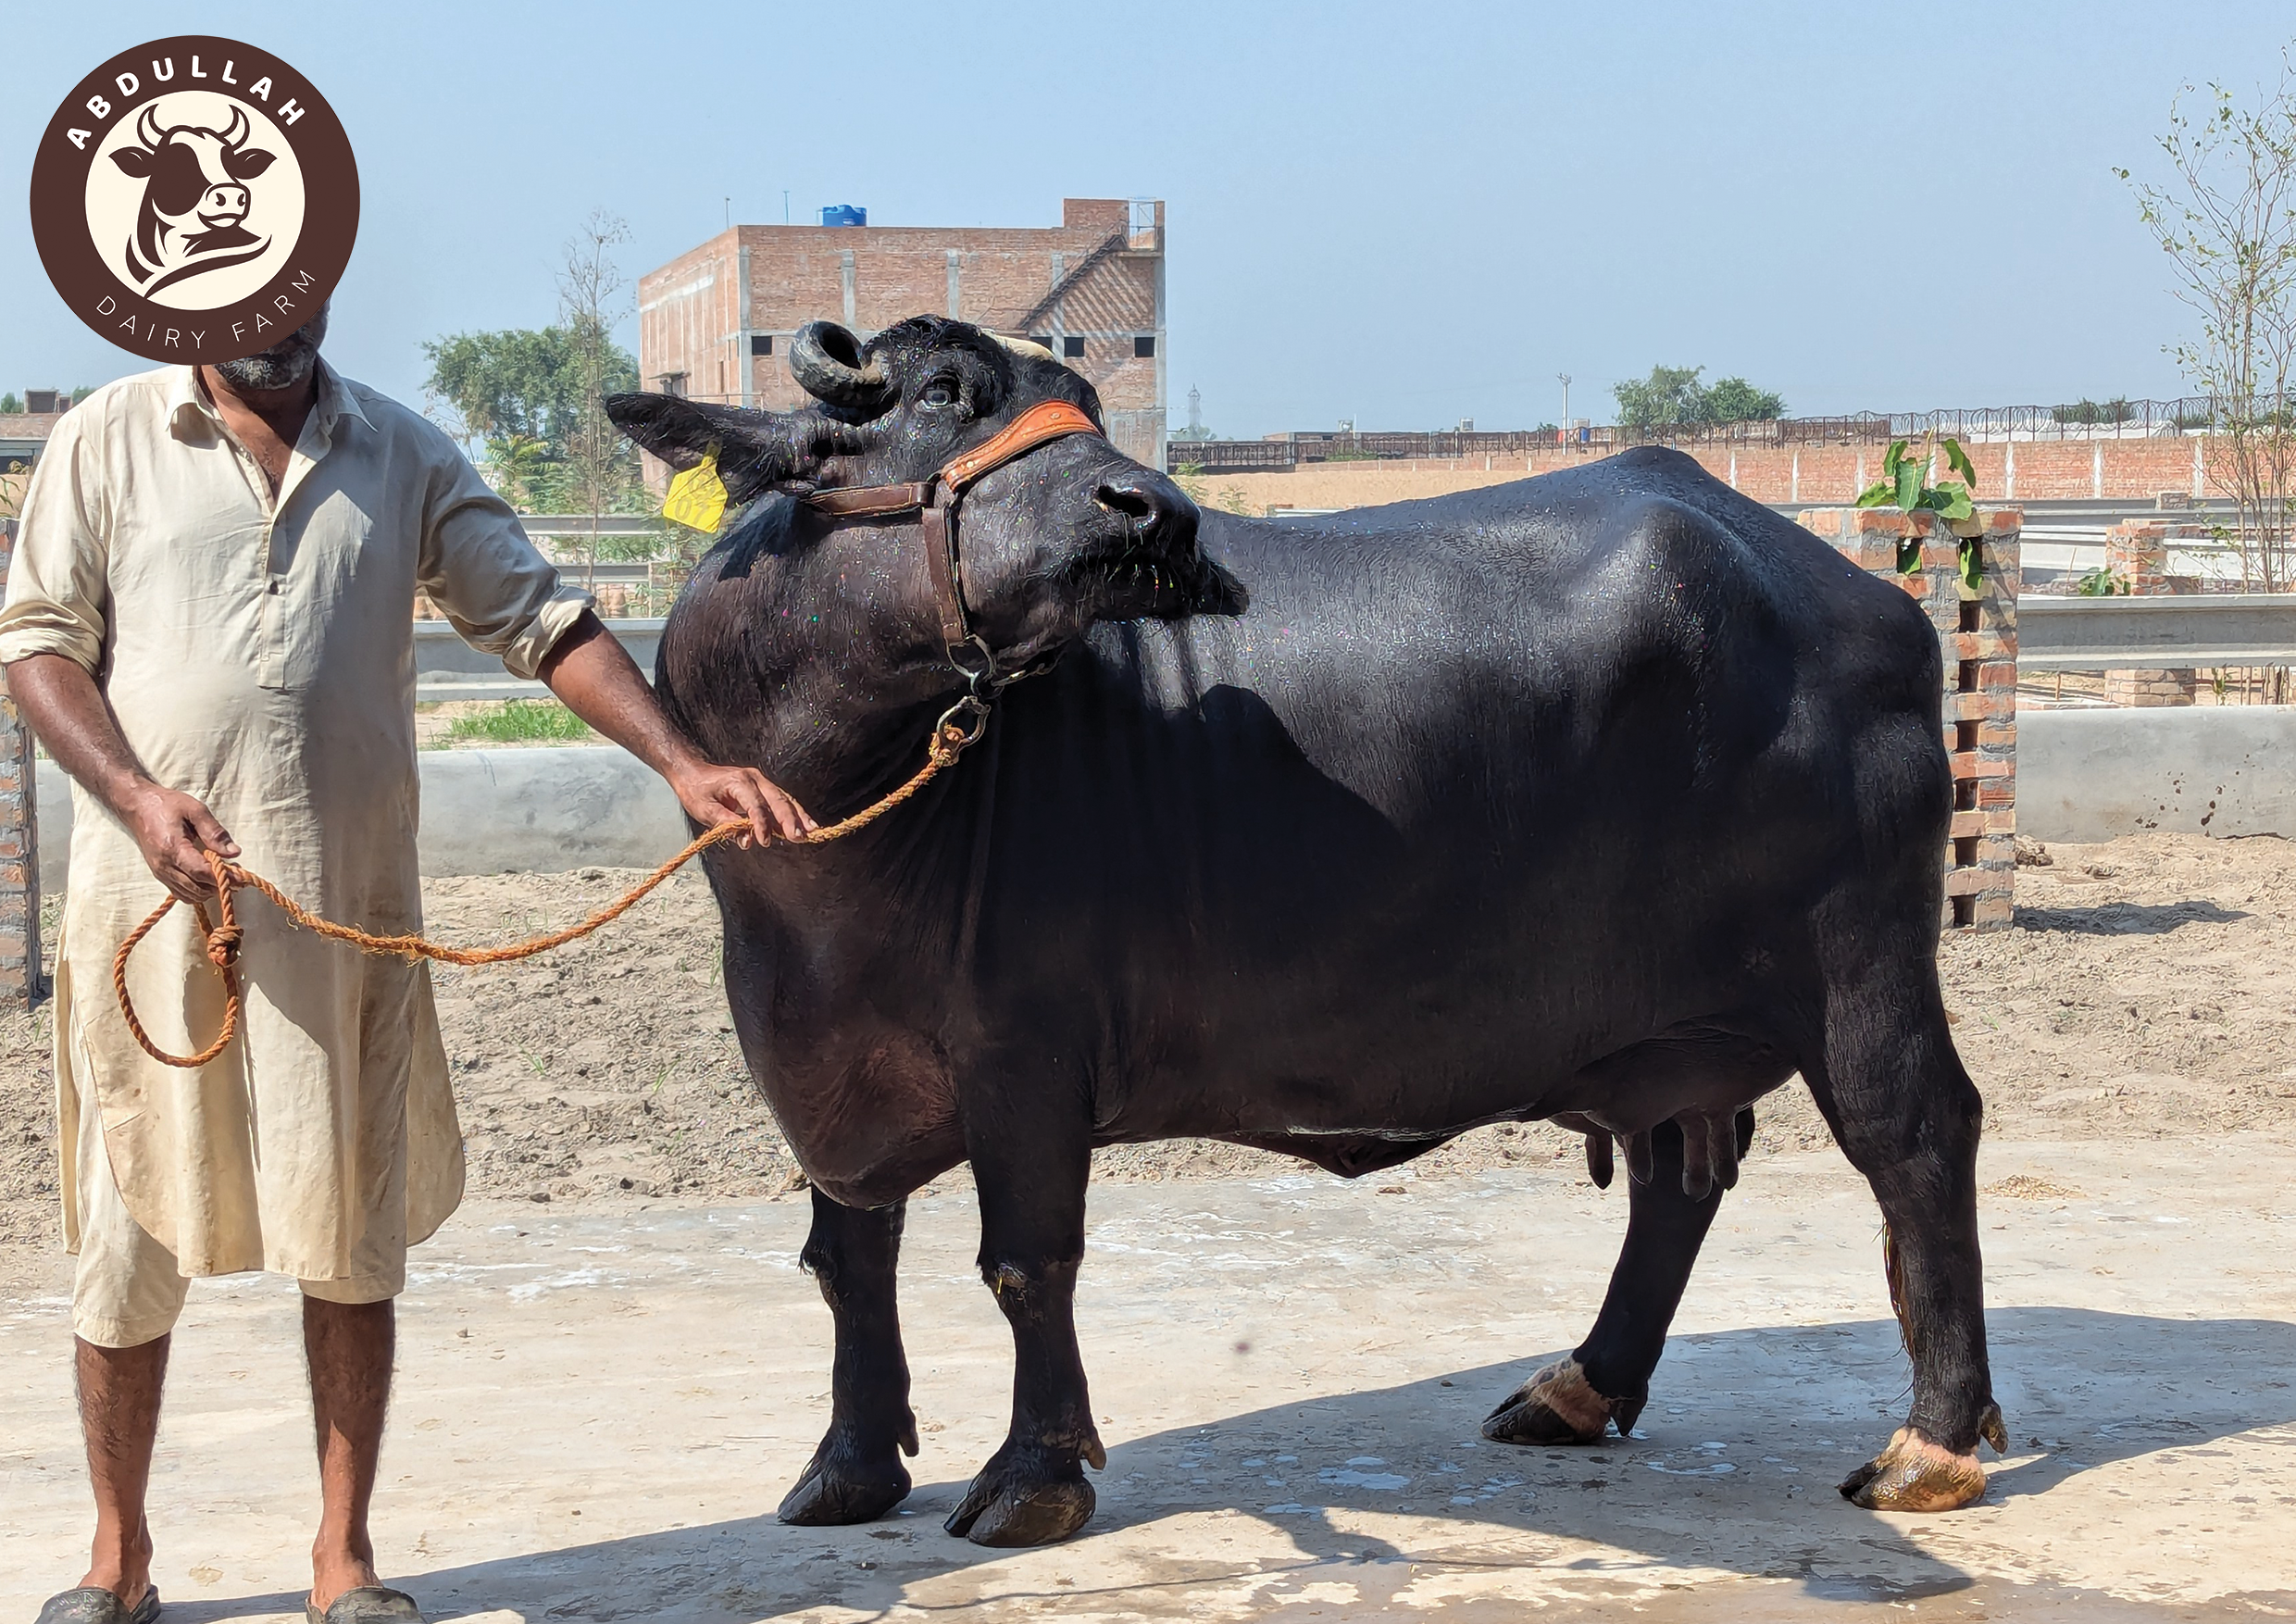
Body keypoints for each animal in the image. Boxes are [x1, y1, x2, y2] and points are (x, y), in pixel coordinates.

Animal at [605, 316, 2003, 1547]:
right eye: (944, 391)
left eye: (1086, 405)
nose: (1152, 511)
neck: (840, 821)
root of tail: (1869, 601)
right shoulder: (817, 1058)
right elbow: (849, 1260)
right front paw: (844, 1466)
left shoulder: (1025, 1057)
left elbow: (1025, 1262)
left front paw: (1030, 1476)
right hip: (1664, 1028)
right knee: (1678, 1175)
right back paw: (1577, 1385)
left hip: (1860, 968)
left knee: (1917, 1137)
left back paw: (1930, 1442)